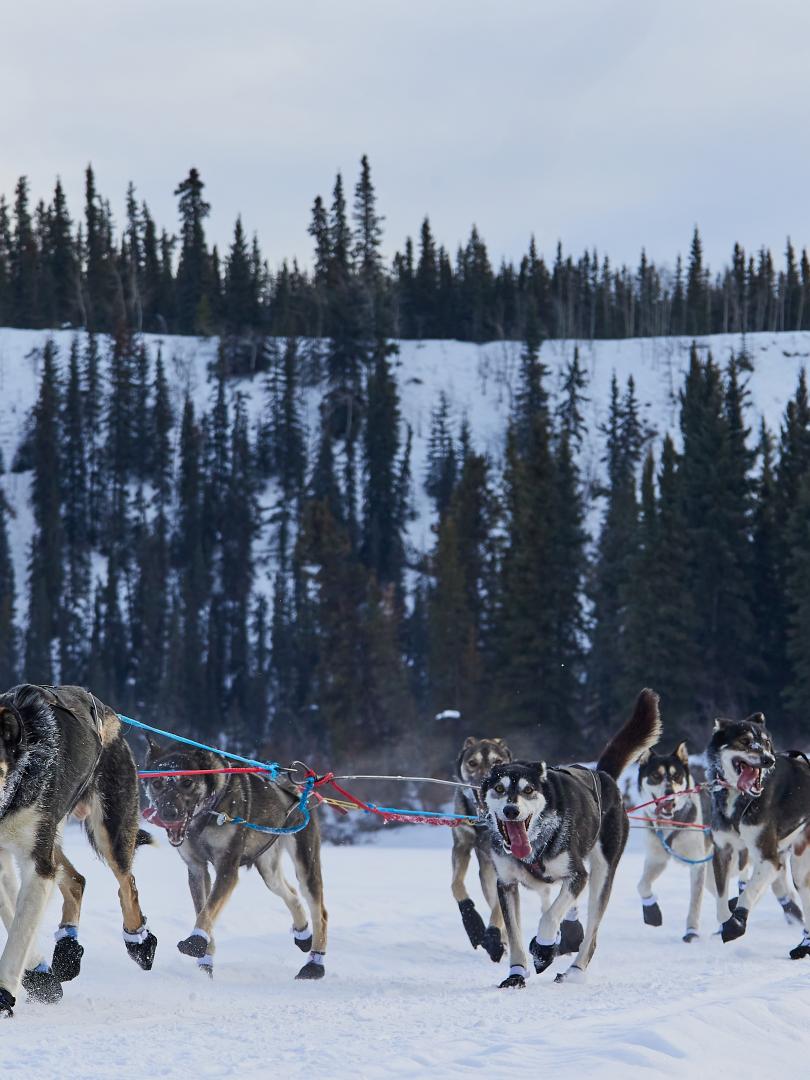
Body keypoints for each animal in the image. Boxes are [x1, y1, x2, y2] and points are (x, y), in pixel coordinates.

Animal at [0, 686, 157, 1015]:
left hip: (108, 830)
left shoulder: (38, 864)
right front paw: (37, 973)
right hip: (53, 836)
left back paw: (138, 941)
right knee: (76, 880)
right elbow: (12, 914)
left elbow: (20, 931)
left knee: (127, 884)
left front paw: (4, 991)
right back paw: (67, 948)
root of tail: (108, 711)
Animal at [144, 743, 328, 980]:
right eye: (157, 783)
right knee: (291, 893)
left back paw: (314, 965)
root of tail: (298, 785)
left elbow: (209, 910)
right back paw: (302, 933)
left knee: (320, 912)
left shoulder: (227, 869)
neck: (207, 813)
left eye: (187, 782)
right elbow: (203, 908)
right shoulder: (197, 869)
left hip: (305, 863)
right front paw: (205, 962)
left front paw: (196, 940)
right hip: (268, 869)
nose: (168, 812)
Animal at [481, 686, 660, 984]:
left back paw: (574, 971)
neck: (536, 842)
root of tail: (603, 776)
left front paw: (543, 949)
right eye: (498, 788)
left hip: (601, 874)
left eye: (528, 790)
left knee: (591, 933)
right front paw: (516, 973)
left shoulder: (577, 875)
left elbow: (550, 917)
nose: (511, 809)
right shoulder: (506, 883)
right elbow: (515, 935)